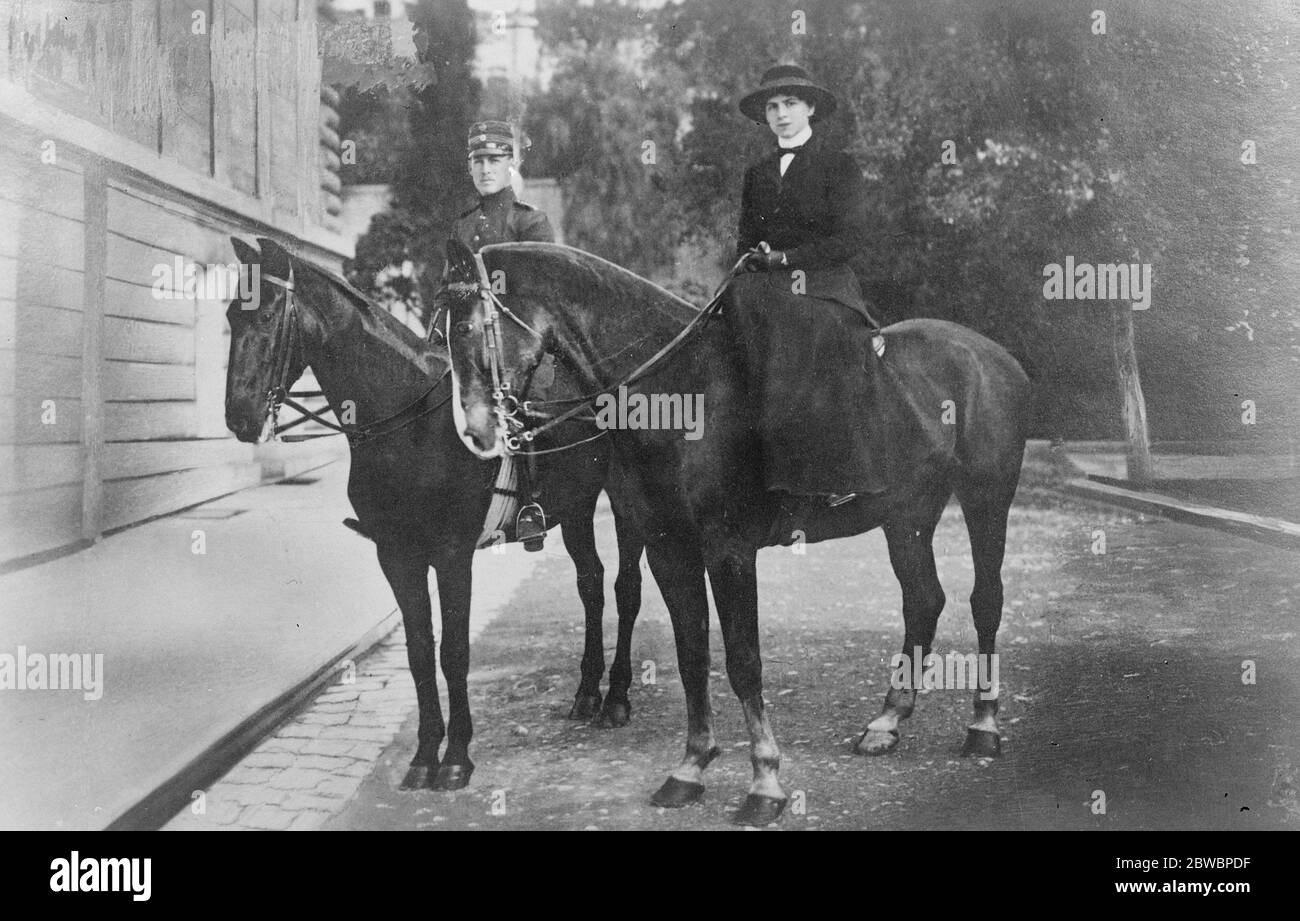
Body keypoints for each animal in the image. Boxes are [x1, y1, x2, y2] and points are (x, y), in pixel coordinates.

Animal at [224, 238, 650, 790]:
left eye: (268, 314)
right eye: (231, 315)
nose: (239, 416)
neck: (407, 420)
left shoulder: (451, 556)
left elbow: (454, 652)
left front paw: (457, 758)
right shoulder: (397, 557)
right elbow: (420, 653)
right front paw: (426, 753)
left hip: (625, 505)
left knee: (626, 588)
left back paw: (616, 697)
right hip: (576, 509)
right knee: (591, 584)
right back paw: (585, 693)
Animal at [447, 240, 1034, 822]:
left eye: (471, 326)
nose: (476, 435)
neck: (678, 390)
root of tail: (996, 357)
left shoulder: (729, 551)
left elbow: (744, 661)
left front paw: (764, 783)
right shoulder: (669, 550)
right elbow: (692, 655)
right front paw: (690, 767)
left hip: (985, 500)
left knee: (985, 601)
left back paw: (983, 725)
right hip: (907, 517)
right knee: (923, 601)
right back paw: (886, 722)